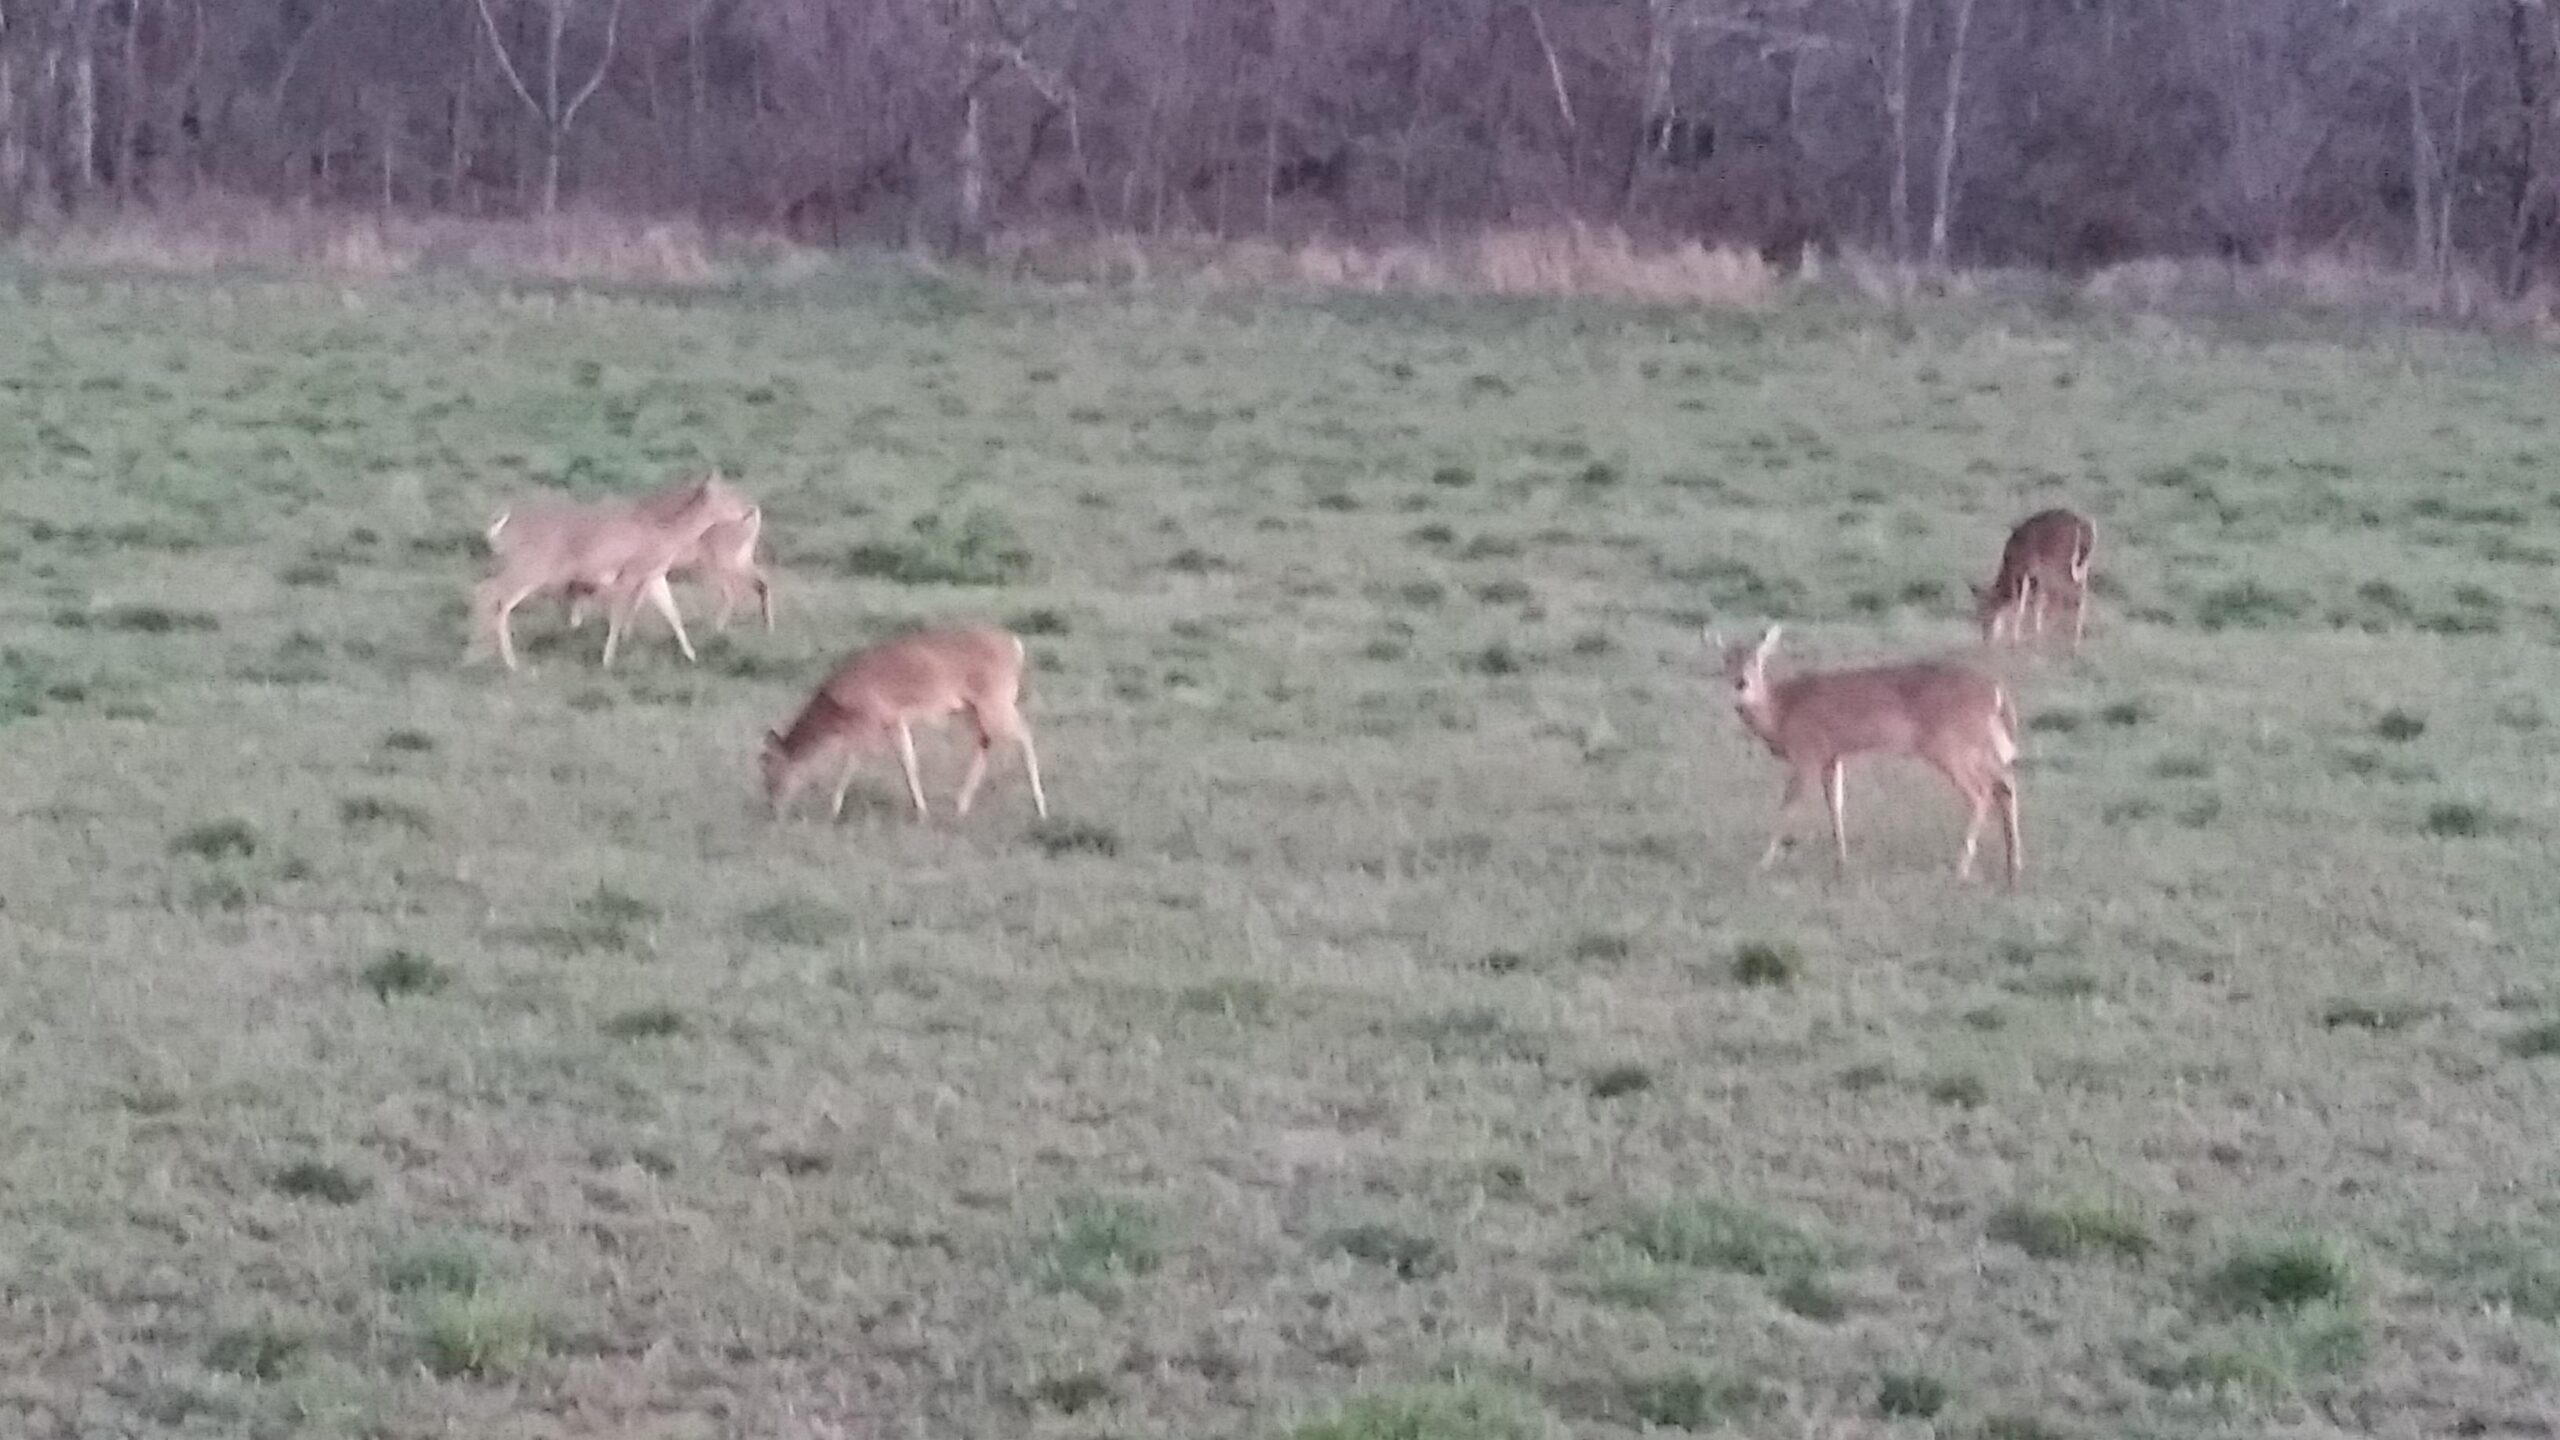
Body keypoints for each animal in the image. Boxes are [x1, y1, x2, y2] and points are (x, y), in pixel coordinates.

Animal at [472, 474, 754, 672]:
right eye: (726, 495)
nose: (748, 511)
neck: (666, 533)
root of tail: (500, 524)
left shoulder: (654, 575)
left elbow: (673, 613)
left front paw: (692, 655)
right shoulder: (628, 573)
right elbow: (618, 616)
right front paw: (607, 660)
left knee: (486, 591)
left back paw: (478, 655)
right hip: (532, 566)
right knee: (494, 595)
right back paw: (505, 661)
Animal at [760, 624, 1049, 823]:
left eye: (770, 768)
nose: (772, 807)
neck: (836, 703)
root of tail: (1016, 645)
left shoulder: (870, 719)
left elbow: (851, 762)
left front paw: (834, 809)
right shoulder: (895, 721)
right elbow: (909, 762)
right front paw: (921, 811)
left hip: (996, 700)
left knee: (1024, 735)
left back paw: (1040, 808)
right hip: (973, 708)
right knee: (986, 741)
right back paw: (961, 805)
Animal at [1711, 623, 2023, 886]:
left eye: (1757, 659)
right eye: (1726, 660)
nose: (1741, 682)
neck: (1781, 711)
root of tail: (1996, 692)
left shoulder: (1807, 752)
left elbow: (1788, 806)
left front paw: (1762, 863)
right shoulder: (1832, 757)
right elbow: (1835, 805)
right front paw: (1841, 861)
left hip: (1948, 744)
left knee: (1981, 792)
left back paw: (1962, 868)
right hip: (1977, 744)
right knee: (2005, 784)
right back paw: (2013, 865)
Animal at [1971, 507, 2096, 650]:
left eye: (1987, 613)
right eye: (1978, 613)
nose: (1986, 639)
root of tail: (2083, 527)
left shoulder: (2023, 571)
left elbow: (2020, 604)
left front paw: (2016, 640)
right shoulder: (2036, 577)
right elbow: (2038, 604)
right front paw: (2037, 635)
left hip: (2058, 565)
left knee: (2071, 596)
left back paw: (2070, 641)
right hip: (2082, 566)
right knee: (2079, 596)